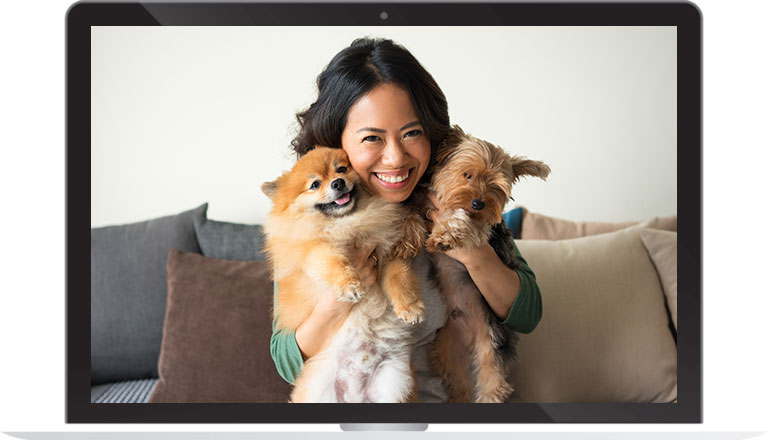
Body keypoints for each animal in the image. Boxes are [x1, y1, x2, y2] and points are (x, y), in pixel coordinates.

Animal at [258, 147, 426, 402]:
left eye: (342, 169)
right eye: (315, 184)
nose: (338, 183)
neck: (348, 223)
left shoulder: (387, 254)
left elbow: (399, 278)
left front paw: (410, 306)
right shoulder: (315, 250)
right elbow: (334, 262)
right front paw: (349, 285)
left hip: (393, 384)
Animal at [424, 126, 548, 402]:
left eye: (494, 186)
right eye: (466, 174)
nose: (478, 203)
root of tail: (470, 335)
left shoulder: (484, 228)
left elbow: (461, 220)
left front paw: (444, 235)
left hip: (492, 339)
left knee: (492, 373)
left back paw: (490, 395)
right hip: (447, 350)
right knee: (460, 380)